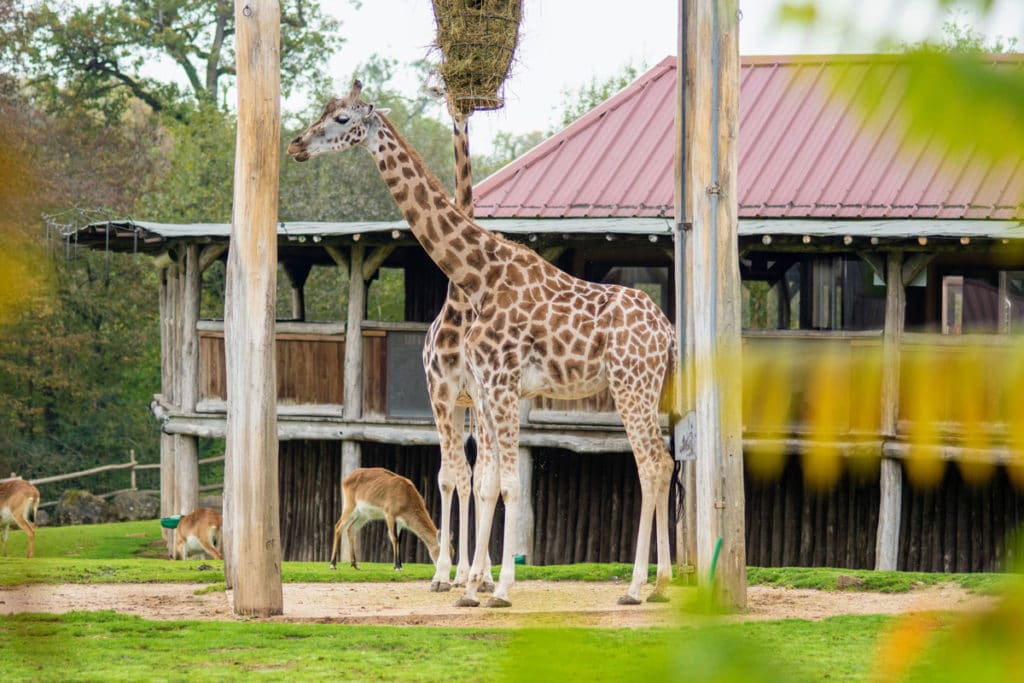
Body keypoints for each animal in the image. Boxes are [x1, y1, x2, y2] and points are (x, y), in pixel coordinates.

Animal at [286, 81, 679, 610]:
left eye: (343, 119)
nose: (296, 144)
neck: (477, 274)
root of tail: (667, 332)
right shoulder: (488, 390)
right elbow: (487, 481)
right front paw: (473, 584)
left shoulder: (494, 382)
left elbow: (503, 482)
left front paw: (495, 587)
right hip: (649, 388)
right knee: (666, 461)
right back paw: (662, 582)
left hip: (629, 386)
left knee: (650, 464)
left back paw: (637, 587)